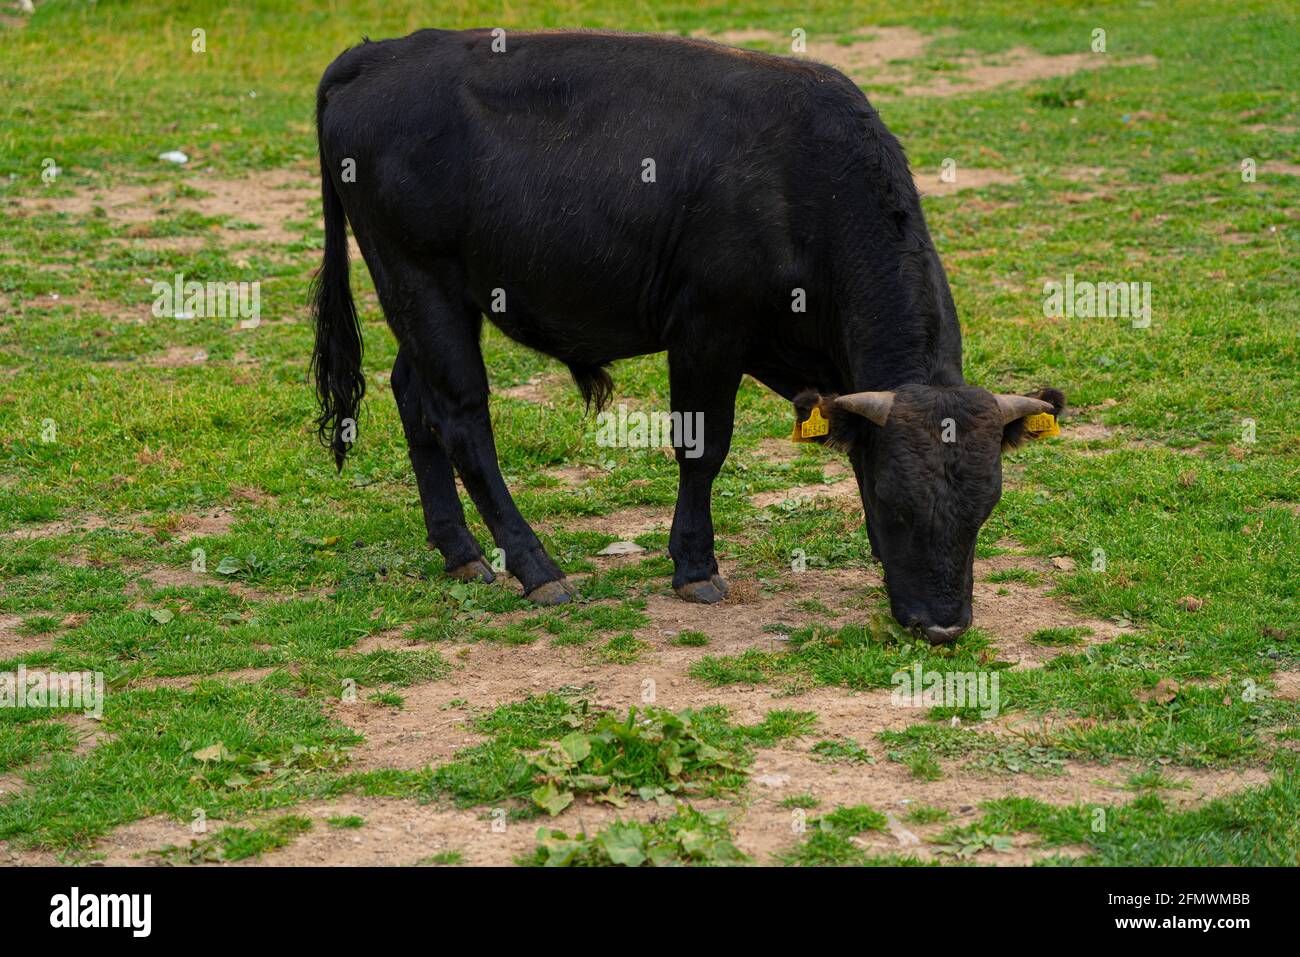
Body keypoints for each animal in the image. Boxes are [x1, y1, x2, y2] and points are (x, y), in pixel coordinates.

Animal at [309, 28, 1064, 645]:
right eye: (899, 505)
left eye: (984, 509)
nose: (943, 625)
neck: (805, 184)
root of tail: (376, 55)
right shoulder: (707, 330)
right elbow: (703, 448)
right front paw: (696, 566)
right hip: (420, 279)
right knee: (463, 418)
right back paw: (536, 567)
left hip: (435, 297)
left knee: (414, 396)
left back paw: (461, 553)